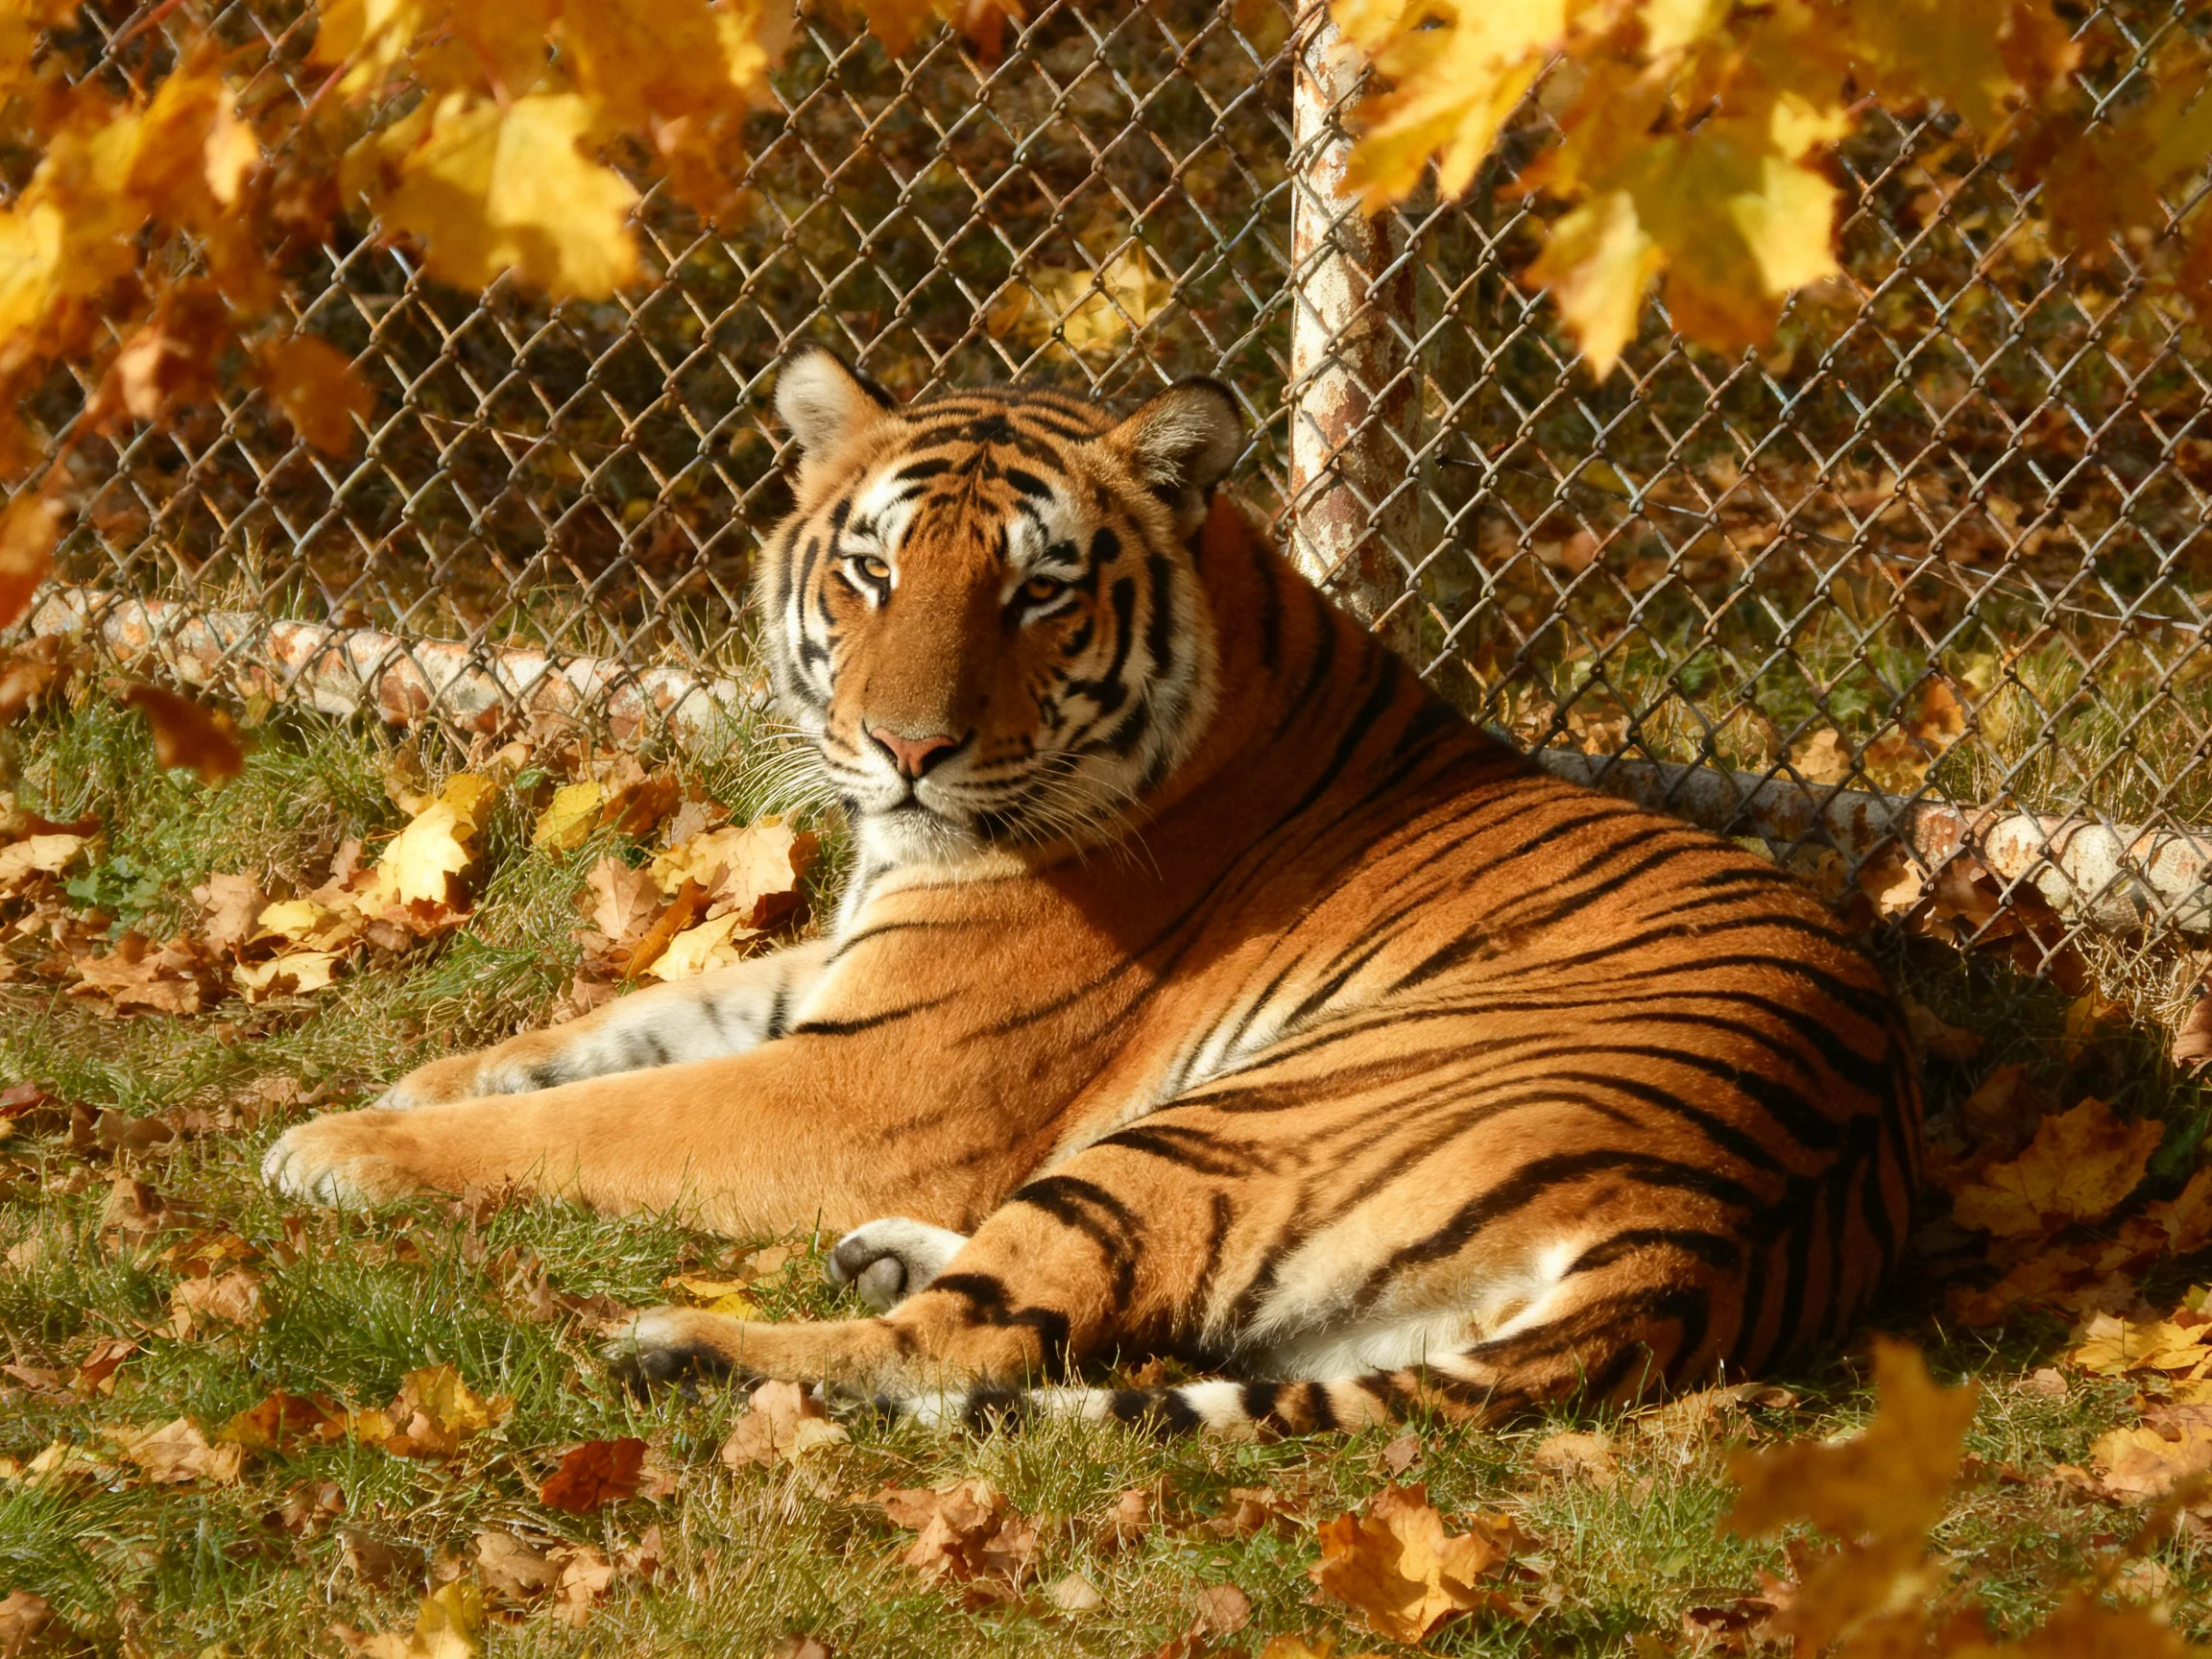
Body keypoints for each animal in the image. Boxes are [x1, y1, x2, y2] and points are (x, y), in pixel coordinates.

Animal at [261, 346, 1923, 1435]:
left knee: (972, 1353)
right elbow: (617, 1028)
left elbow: (600, 1116)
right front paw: (420, 1082)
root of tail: (1707, 1237)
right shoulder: (844, 972)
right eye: (872, 571)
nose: (904, 749)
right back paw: (881, 1256)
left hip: (1235, 1118)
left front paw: (340, 1145)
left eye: (1038, 589)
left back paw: (683, 1350)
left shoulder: (870, 1082)